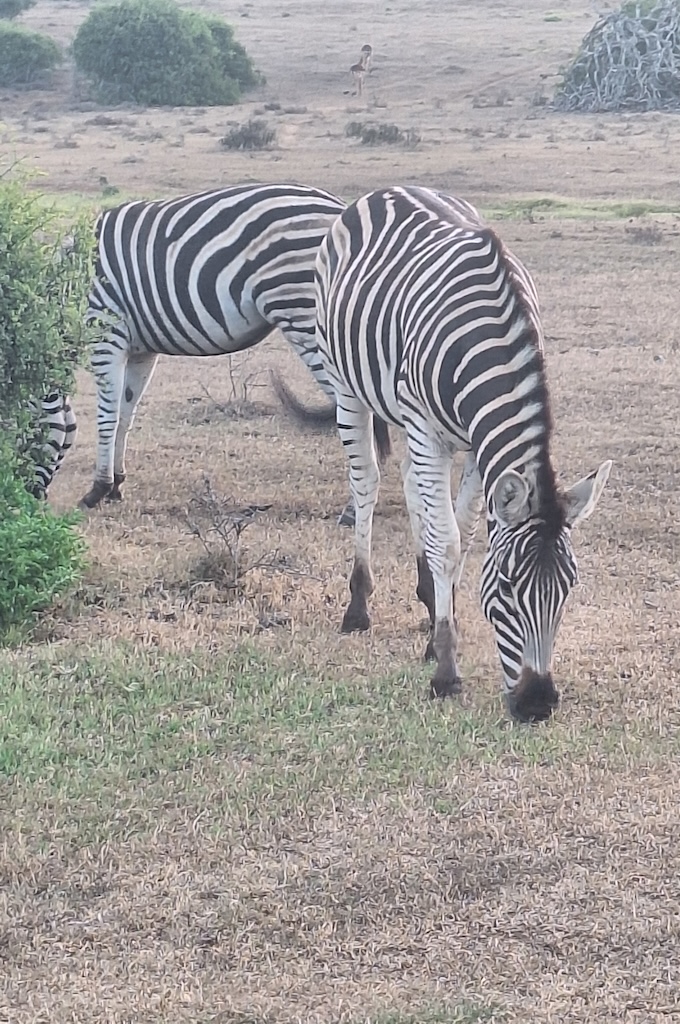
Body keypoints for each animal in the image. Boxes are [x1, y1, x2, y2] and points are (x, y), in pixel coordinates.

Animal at [79, 182, 374, 525]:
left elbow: (107, 415)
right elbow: (126, 414)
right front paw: (116, 484)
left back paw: (354, 509)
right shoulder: (141, 351)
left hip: (304, 313)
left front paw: (98, 489)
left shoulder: (104, 330)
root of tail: (340, 209)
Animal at [273, 186, 611, 722]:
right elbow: (448, 543)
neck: (490, 343)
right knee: (367, 482)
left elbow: (462, 536)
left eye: (568, 588)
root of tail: (389, 190)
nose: (538, 704)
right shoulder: (427, 429)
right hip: (346, 383)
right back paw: (358, 605)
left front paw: (438, 628)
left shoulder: (475, 445)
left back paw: (427, 598)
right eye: (507, 588)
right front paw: (447, 671)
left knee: (414, 487)